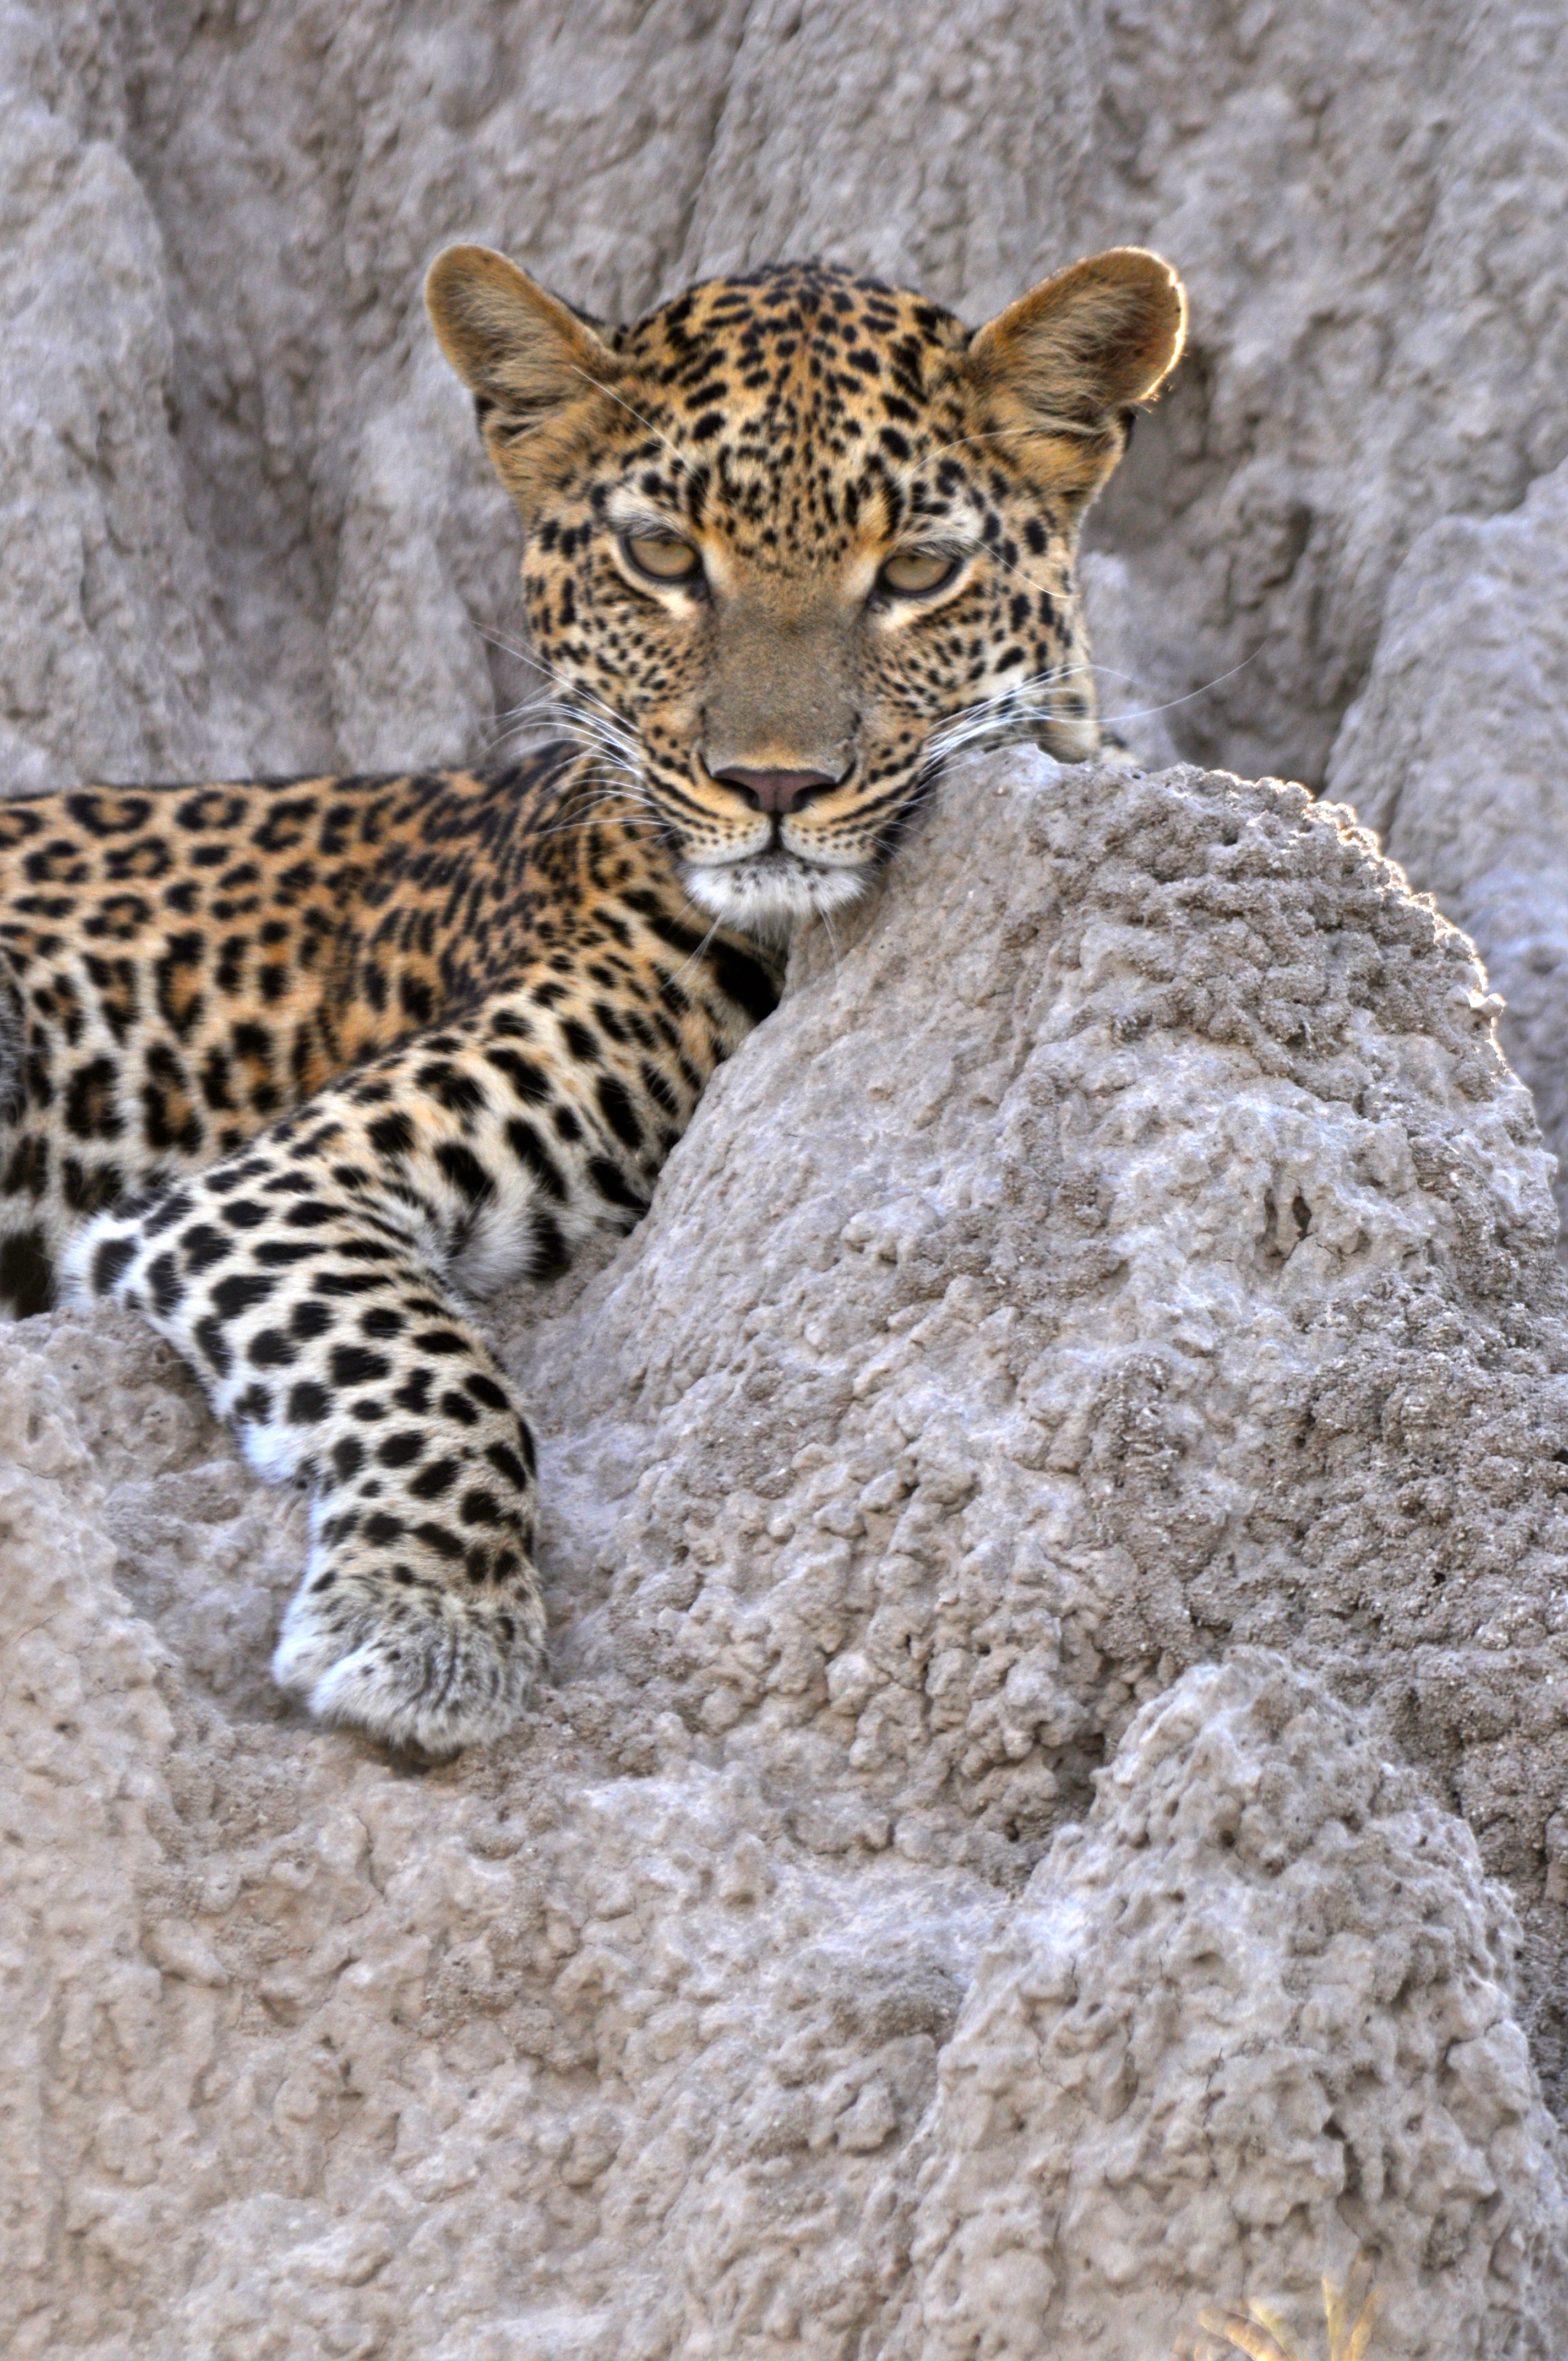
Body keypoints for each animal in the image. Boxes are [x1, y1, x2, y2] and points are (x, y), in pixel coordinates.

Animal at [0, 239, 1186, 1755]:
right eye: (662, 556)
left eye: (917, 569)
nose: (775, 784)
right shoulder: (262, 1187)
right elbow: (430, 1366)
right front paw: (431, 1621)